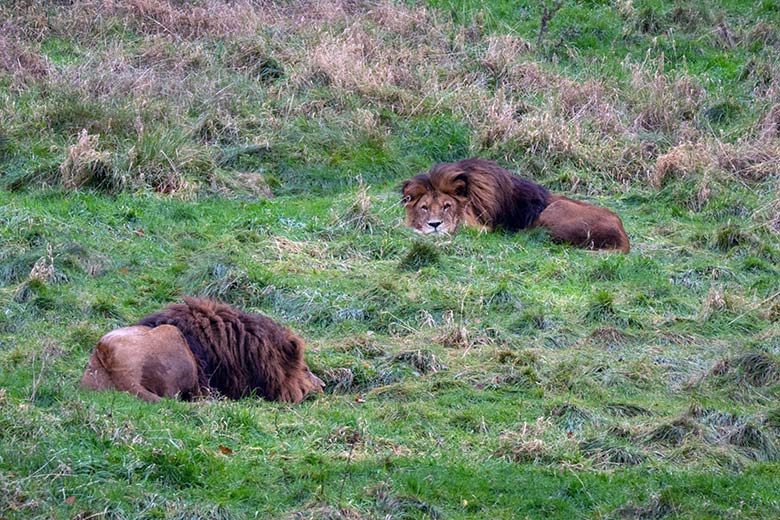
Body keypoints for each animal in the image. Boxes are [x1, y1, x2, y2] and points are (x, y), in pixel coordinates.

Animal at [400, 157, 632, 253]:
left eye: (447, 206)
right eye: (424, 207)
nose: (434, 224)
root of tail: (623, 235)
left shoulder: (484, 229)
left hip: (553, 212)